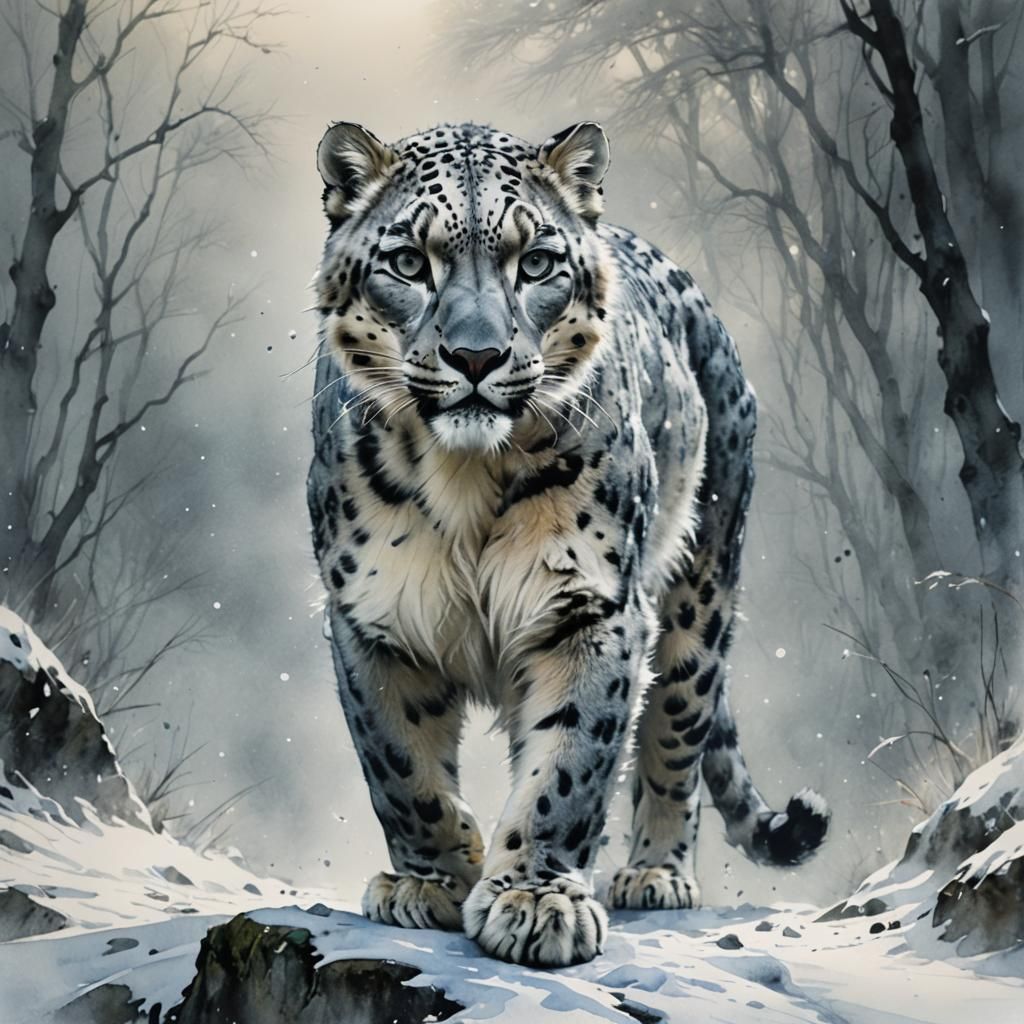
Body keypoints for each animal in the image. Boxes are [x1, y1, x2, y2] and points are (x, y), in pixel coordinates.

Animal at [306, 120, 829, 968]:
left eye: (537, 263)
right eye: (409, 262)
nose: (475, 357)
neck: (467, 481)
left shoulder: (592, 606)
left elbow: (570, 763)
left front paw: (533, 899)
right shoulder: (372, 614)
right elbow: (401, 767)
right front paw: (434, 881)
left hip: (701, 591)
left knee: (677, 729)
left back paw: (655, 874)